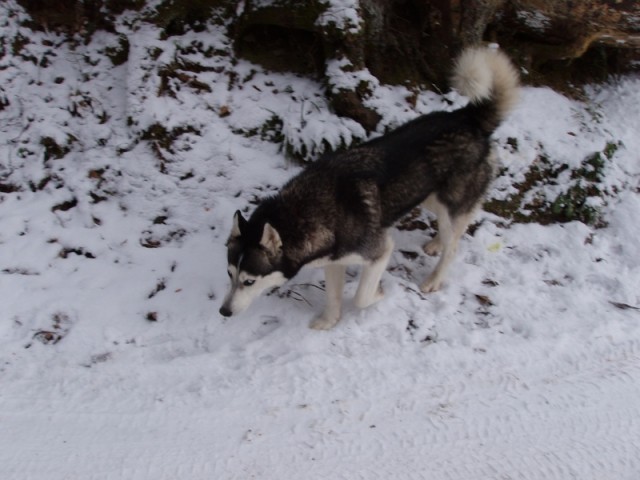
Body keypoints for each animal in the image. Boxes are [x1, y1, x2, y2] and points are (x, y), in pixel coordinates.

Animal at [220, 47, 520, 328]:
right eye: (229, 274)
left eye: (249, 281)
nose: (224, 311)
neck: (310, 211)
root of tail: (468, 117)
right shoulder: (334, 260)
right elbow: (334, 296)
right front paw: (329, 321)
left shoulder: (379, 251)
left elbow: (361, 297)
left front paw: (380, 293)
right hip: (428, 194)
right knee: (455, 229)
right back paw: (436, 243)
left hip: (450, 203)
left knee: (454, 244)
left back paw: (435, 277)